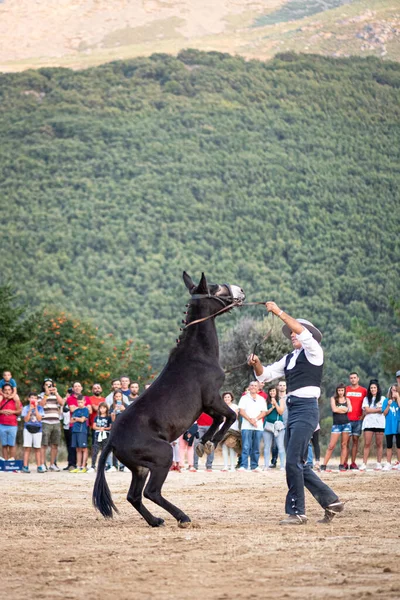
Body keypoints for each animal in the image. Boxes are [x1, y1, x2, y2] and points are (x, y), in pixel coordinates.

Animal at [93, 270, 244, 528]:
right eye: (216, 288)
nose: (240, 291)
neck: (197, 354)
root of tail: (111, 440)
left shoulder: (206, 406)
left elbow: (217, 420)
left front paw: (204, 442)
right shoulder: (212, 398)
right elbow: (231, 415)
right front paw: (212, 442)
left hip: (140, 469)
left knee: (134, 496)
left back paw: (156, 521)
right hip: (162, 457)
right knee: (151, 492)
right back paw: (182, 517)